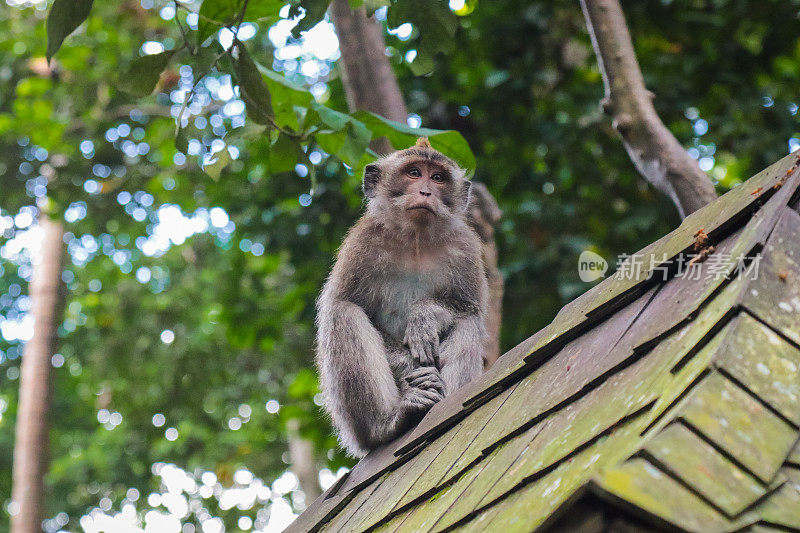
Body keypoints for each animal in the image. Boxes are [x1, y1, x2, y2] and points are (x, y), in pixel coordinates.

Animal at [314, 138, 488, 458]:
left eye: (438, 178)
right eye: (414, 173)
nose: (426, 192)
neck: (416, 239)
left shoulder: (466, 248)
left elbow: (468, 308)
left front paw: (425, 316)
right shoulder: (362, 244)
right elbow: (343, 303)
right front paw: (412, 366)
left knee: (467, 321)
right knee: (343, 314)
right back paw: (388, 424)